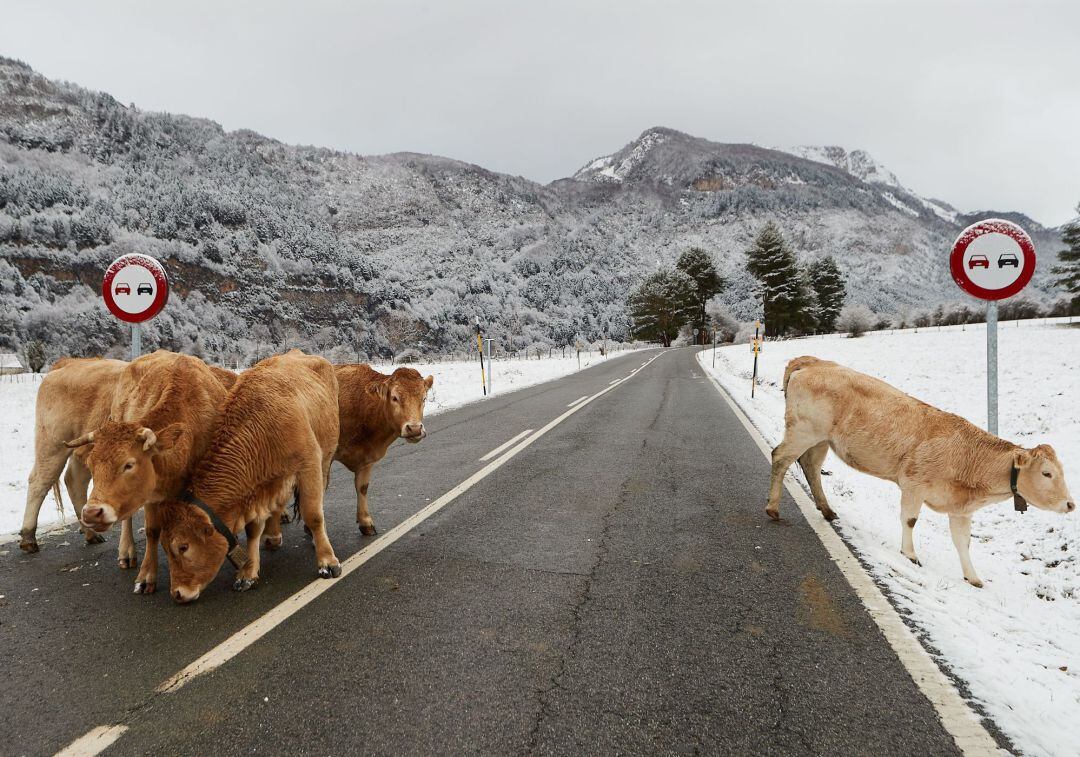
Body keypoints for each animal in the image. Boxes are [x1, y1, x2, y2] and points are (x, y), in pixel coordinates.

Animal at [19, 357, 127, 554]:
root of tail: (70, 362)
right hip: (53, 443)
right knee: (40, 480)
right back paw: (28, 538)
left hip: (84, 446)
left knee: (75, 479)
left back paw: (90, 532)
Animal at [64, 350, 228, 593]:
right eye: (91, 464)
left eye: (129, 464)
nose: (91, 513)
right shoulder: (151, 494)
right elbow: (152, 530)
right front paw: (147, 576)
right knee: (127, 518)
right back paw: (126, 551)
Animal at [157, 350, 341, 603]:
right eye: (164, 548)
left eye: (183, 547)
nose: (177, 593)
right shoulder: (258, 490)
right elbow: (253, 530)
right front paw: (248, 573)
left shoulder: (309, 466)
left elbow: (313, 515)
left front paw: (328, 562)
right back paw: (273, 536)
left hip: (325, 461)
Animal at [767, 356, 1075, 587]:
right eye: (1047, 473)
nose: (1070, 504)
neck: (968, 457)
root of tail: (812, 361)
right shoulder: (914, 484)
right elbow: (911, 520)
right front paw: (910, 554)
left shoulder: (960, 508)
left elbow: (963, 542)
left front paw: (973, 578)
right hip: (805, 430)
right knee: (780, 458)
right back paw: (773, 508)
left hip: (821, 440)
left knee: (811, 467)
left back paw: (827, 510)